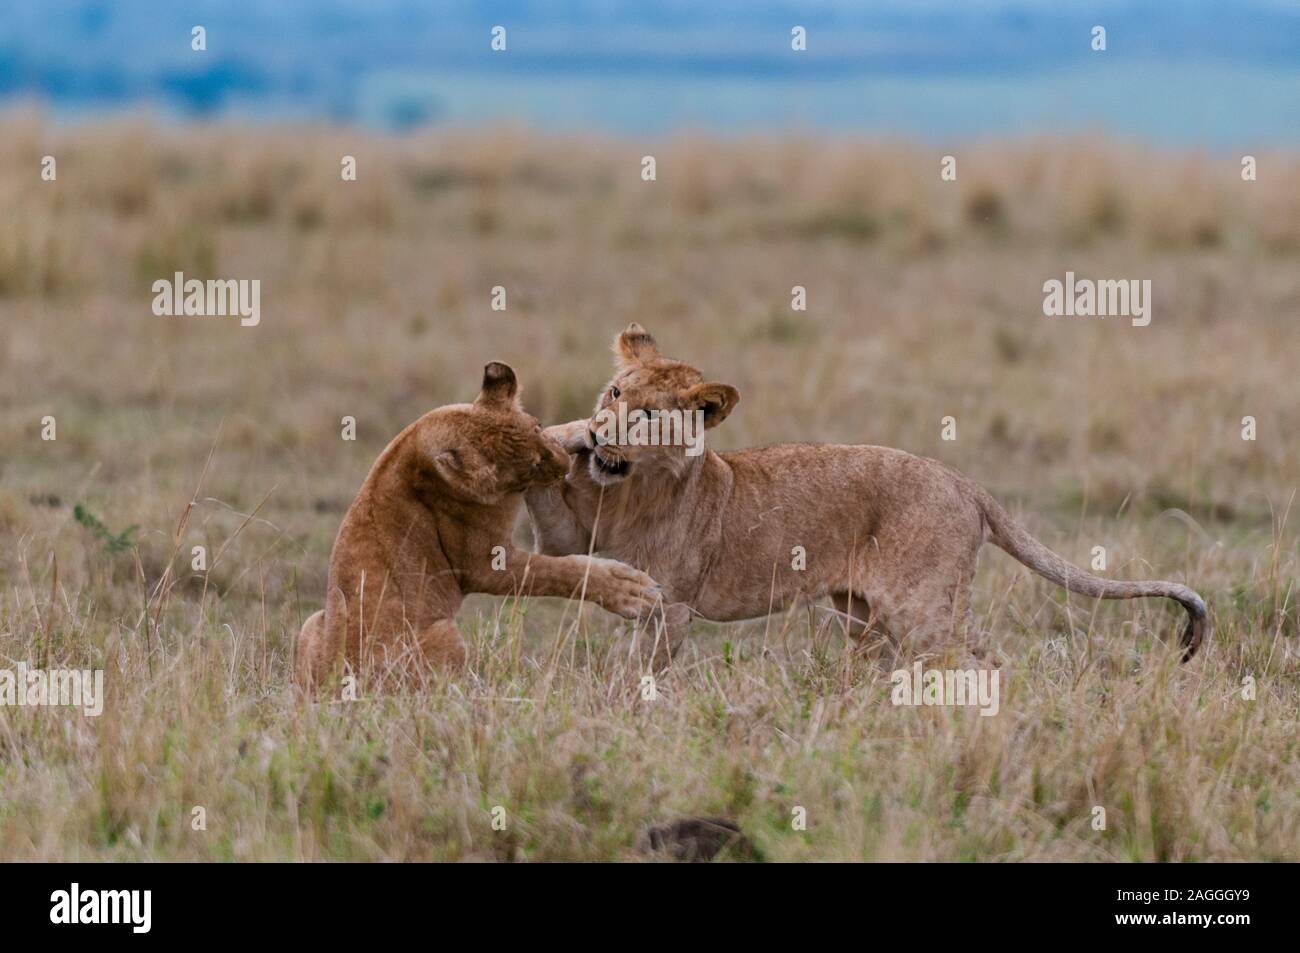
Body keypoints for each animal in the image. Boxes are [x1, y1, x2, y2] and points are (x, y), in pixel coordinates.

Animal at [295, 361, 662, 690]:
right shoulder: (485, 565)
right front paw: (630, 590)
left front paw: (589, 430)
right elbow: (557, 572)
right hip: (445, 634)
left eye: (537, 424)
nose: (562, 468)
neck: (424, 443)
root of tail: (330, 688)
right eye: (530, 467)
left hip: (311, 623)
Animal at [525, 324, 1207, 664]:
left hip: (924, 606)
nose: (600, 431)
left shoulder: (670, 603)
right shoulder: (570, 535)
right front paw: (549, 433)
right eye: (616, 393)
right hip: (862, 614)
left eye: (648, 417)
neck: (632, 486)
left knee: (980, 659)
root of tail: (964, 482)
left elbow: (641, 670)